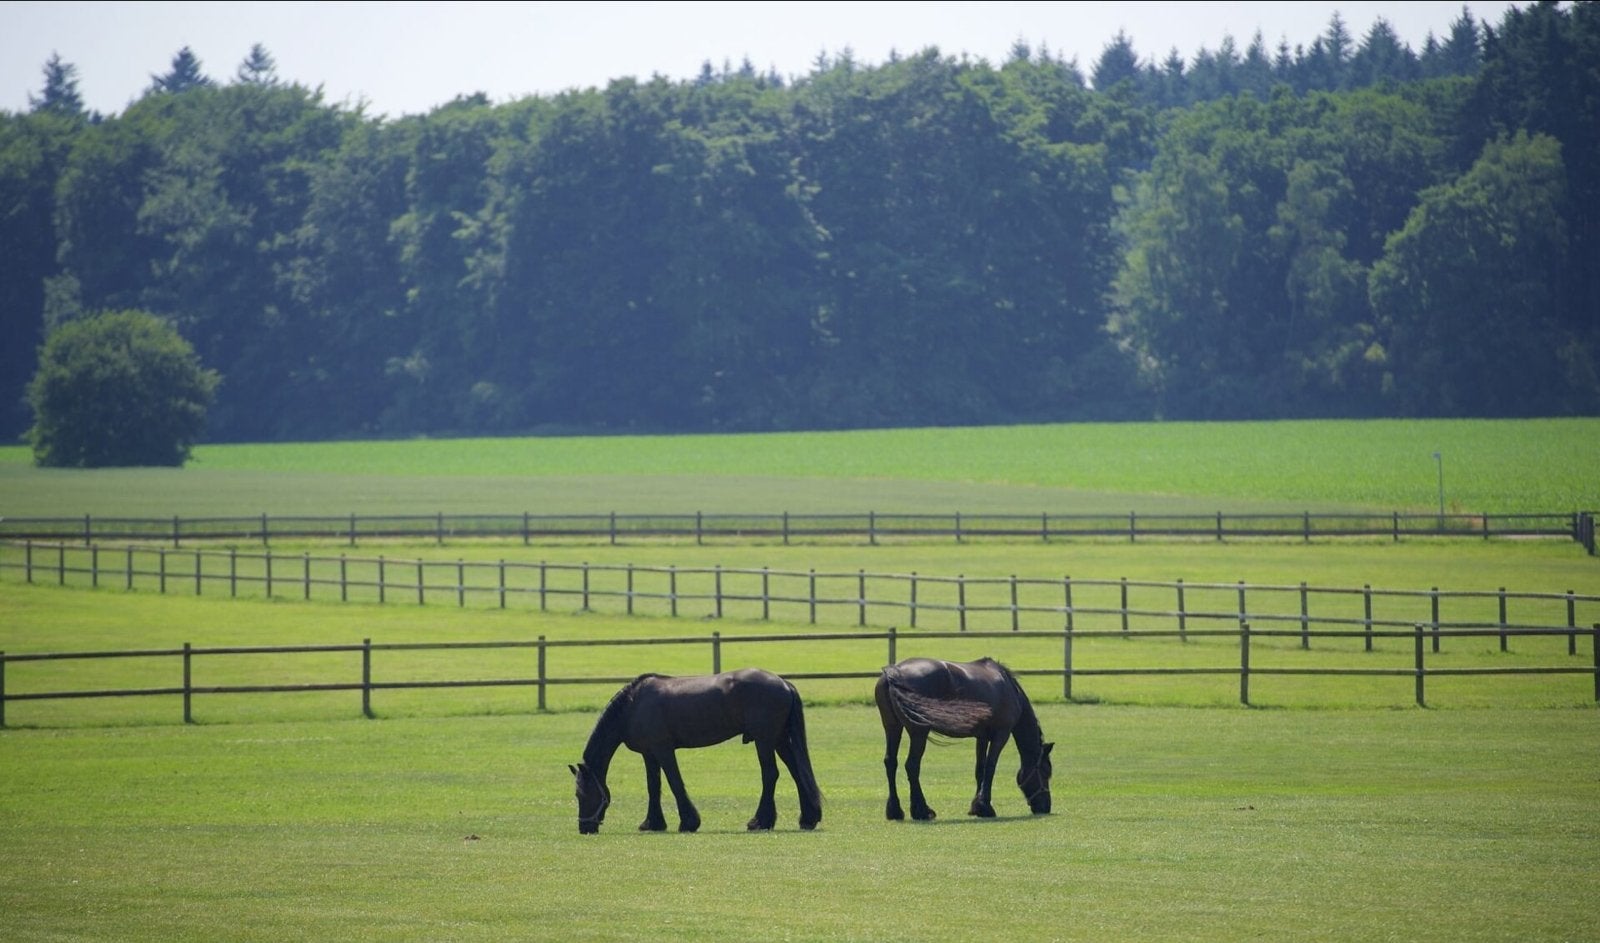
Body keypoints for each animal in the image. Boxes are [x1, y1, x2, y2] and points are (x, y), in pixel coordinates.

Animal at [569, 668, 823, 834]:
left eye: (581, 794)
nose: (584, 827)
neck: (633, 705)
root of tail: (783, 683)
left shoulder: (663, 750)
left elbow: (674, 782)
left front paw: (688, 822)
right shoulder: (649, 754)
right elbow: (653, 786)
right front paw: (653, 823)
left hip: (764, 740)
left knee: (770, 775)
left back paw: (760, 822)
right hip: (779, 739)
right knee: (797, 773)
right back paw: (808, 818)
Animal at [875, 656, 1054, 820]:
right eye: (1046, 772)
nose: (1045, 807)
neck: (1008, 688)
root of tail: (894, 672)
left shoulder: (982, 737)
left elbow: (980, 769)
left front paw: (976, 807)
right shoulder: (1001, 734)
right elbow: (990, 767)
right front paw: (986, 807)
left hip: (892, 727)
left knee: (891, 762)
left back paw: (895, 811)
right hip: (918, 732)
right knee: (912, 765)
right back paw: (922, 811)